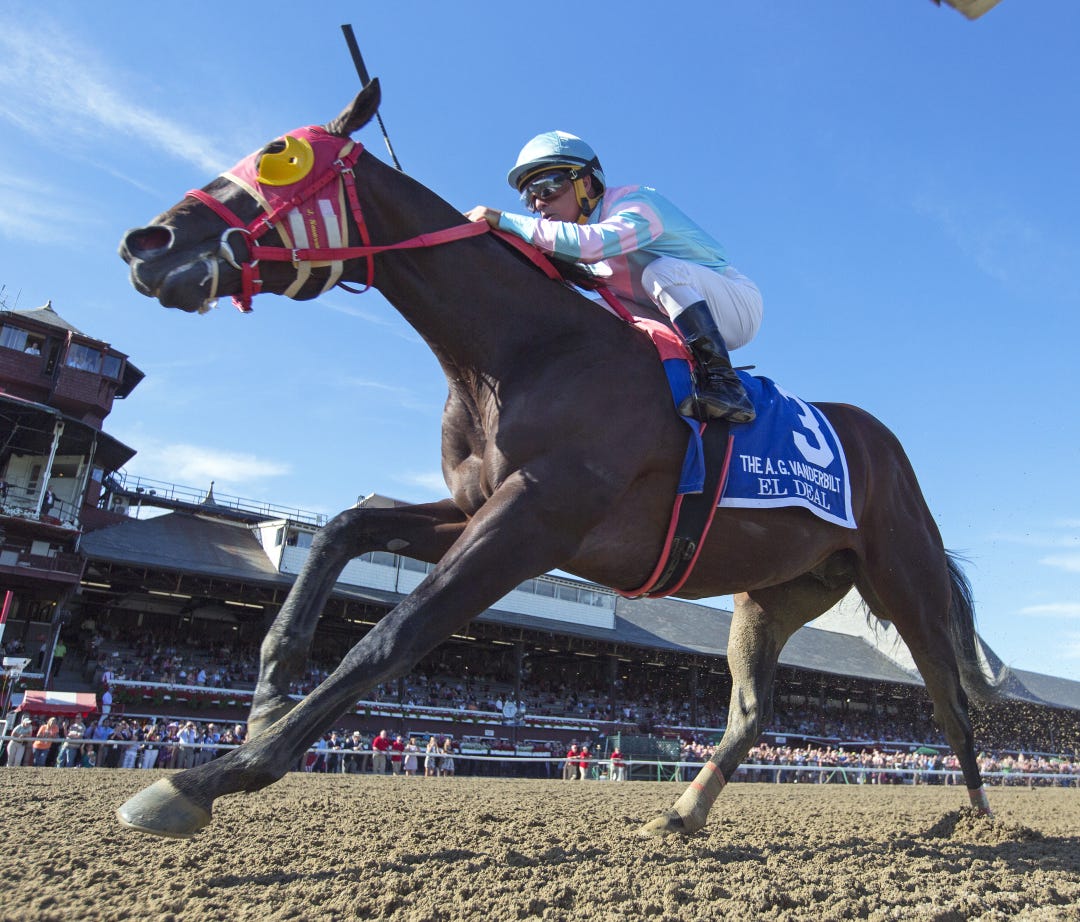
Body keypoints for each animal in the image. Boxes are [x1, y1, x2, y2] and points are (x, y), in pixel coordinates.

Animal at [116, 80, 998, 839]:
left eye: (278, 155)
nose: (145, 242)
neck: (525, 351)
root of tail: (886, 446)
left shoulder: (535, 520)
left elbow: (394, 635)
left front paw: (207, 777)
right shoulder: (484, 508)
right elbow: (345, 527)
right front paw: (269, 686)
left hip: (905, 580)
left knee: (951, 700)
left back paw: (984, 818)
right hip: (774, 592)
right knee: (752, 712)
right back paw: (681, 815)